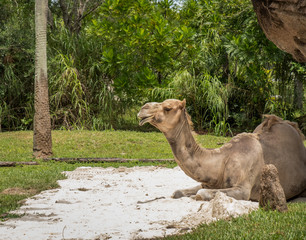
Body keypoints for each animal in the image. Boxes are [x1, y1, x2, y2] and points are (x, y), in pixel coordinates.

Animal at [138, 99, 306, 201]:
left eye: (168, 108)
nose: (142, 108)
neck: (222, 160)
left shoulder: (243, 189)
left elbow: (200, 194)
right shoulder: (209, 183)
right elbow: (177, 192)